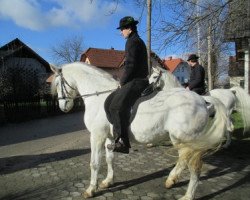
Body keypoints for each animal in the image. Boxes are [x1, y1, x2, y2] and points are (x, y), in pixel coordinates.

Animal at [50, 62, 229, 200]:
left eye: (58, 84)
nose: (63, 107)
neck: (98, 96)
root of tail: (202, 100)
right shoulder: (109, 137)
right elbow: (109, 159)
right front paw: (108, 181)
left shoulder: (97, 136)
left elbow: (94, 163)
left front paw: (90, 190)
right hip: (181, 141)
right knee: (184, 161)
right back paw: (171, 180)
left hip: (186, 141)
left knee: (194, 167)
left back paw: (187, 195)